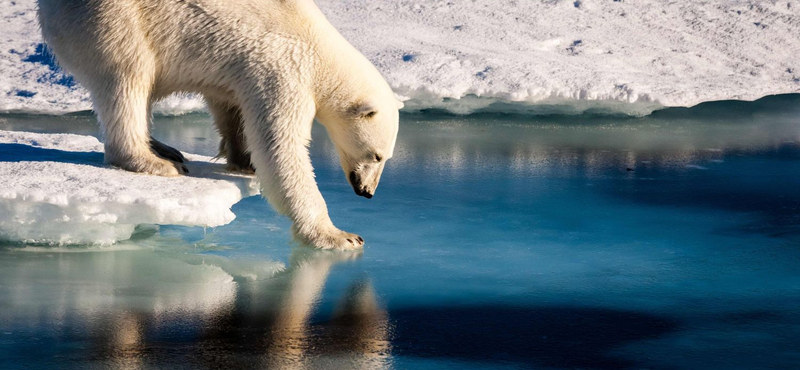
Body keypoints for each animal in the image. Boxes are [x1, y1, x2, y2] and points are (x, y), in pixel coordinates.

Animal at [36, 0, 400, 250]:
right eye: (378, 155)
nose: (367, 192)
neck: (319, 51)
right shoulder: (284, 67)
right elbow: (281, 148)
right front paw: (341, 236)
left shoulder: (239, 68)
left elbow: (230, 107)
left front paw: (243, 161)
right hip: (114, 19)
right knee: (128, 76)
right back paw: (155, 161)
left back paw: (165, 148)